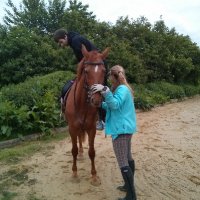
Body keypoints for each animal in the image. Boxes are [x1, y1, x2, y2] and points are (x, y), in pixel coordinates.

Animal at [65, 44, 109, 184]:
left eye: (104, 71)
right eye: (86, 71)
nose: (96, 100)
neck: (81, 104)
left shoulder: (91, 129)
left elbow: (92, 152)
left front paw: (94, 175)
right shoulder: (72, 128)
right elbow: (73, 150)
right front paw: (74, 173)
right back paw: (79, 153)